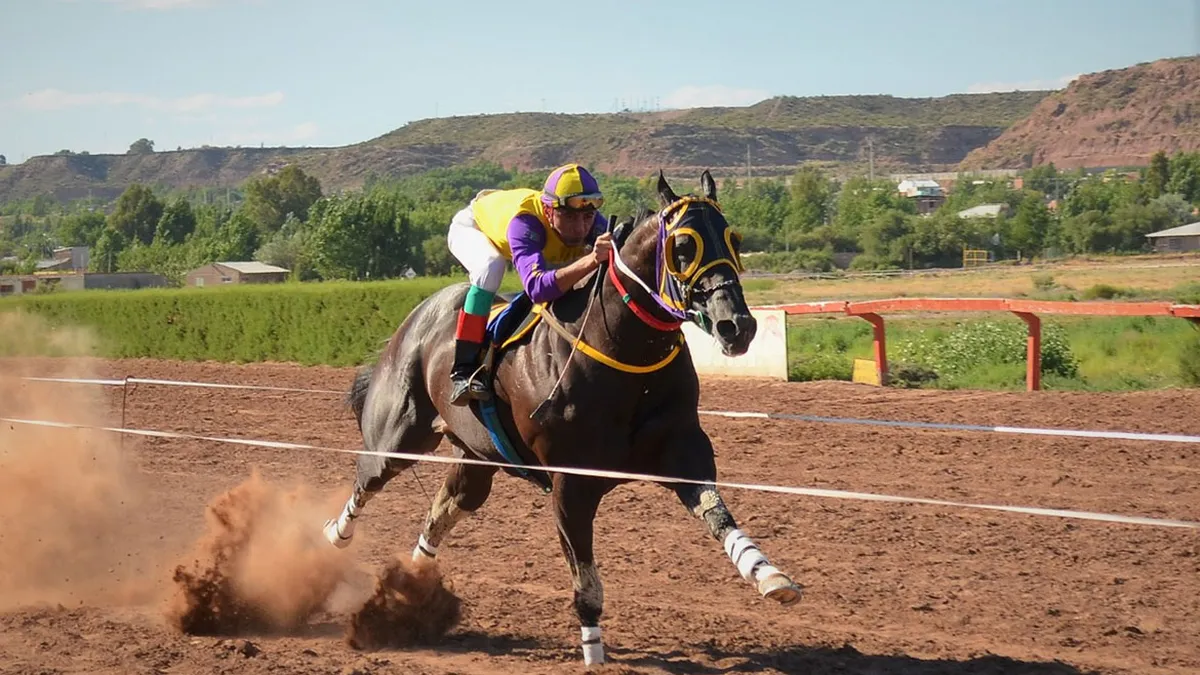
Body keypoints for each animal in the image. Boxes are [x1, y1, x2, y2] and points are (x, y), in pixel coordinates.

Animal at [322, 170, 802, 666]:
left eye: (733, 239)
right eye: (683, 245)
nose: (737, 326)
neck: (623, 351)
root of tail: (416, 317)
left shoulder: (682, 450)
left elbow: (718, 513)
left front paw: (768, 573)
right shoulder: (571, 482)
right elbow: (585, 577)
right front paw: (593, 649)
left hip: (476, 459)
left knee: (444, 508)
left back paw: (410, 588)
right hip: (399, 438)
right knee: (367, 479)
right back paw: (331, 541)